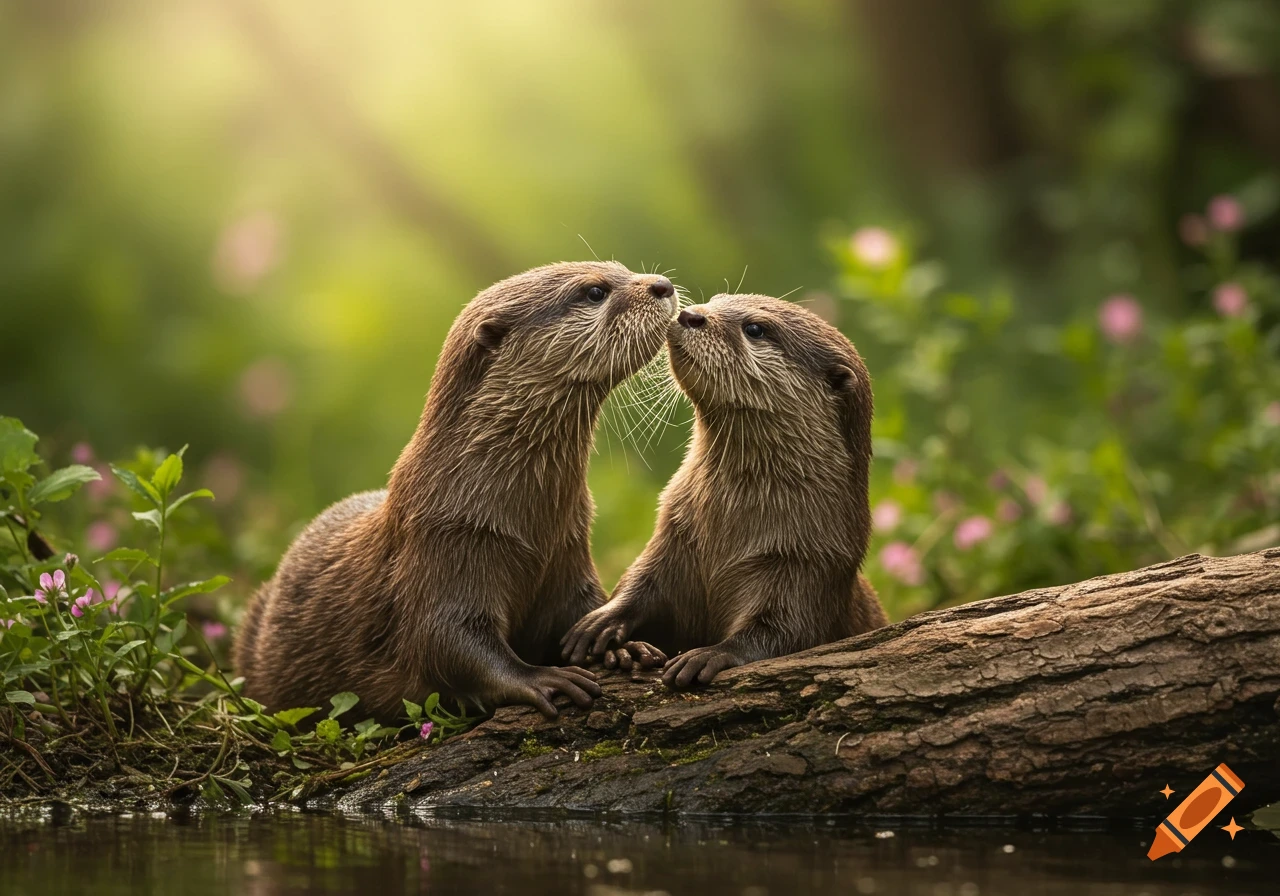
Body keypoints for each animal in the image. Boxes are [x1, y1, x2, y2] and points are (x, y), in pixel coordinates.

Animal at [234, 262, 677, 720]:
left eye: (621, 268)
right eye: (594, 291)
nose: (663, 285)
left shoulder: (569, 547)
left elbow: (583, 608)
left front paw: (621, 645)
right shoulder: (446, 541)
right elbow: (445, 641)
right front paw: (541, 678)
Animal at [562, 293, 888, 687]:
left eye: (755, 328)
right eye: (717, 300)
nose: (690, 314)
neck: (726, 530)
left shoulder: (812, 563)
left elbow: (785, 631)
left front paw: (711, 654)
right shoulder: (675, 532)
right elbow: (641, 582)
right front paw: (605, 623)